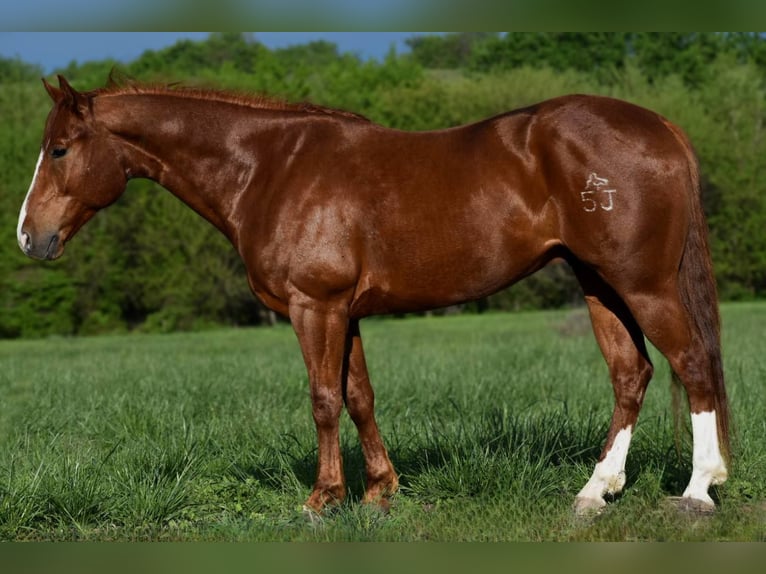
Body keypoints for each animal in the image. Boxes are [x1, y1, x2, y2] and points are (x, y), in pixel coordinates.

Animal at [17, 75, 730, 515]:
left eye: (59, 150)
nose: (28, 237)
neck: (269, 168)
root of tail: (660, 126)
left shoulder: (315, 306)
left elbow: (324, 400)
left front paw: (322, 499)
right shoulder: (346, 312)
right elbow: (359, 396)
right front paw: (379, 493)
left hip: (643, 285)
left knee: (692, 364)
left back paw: (699, 490)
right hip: (599, 284)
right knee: (631, 373)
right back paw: (594, 491)